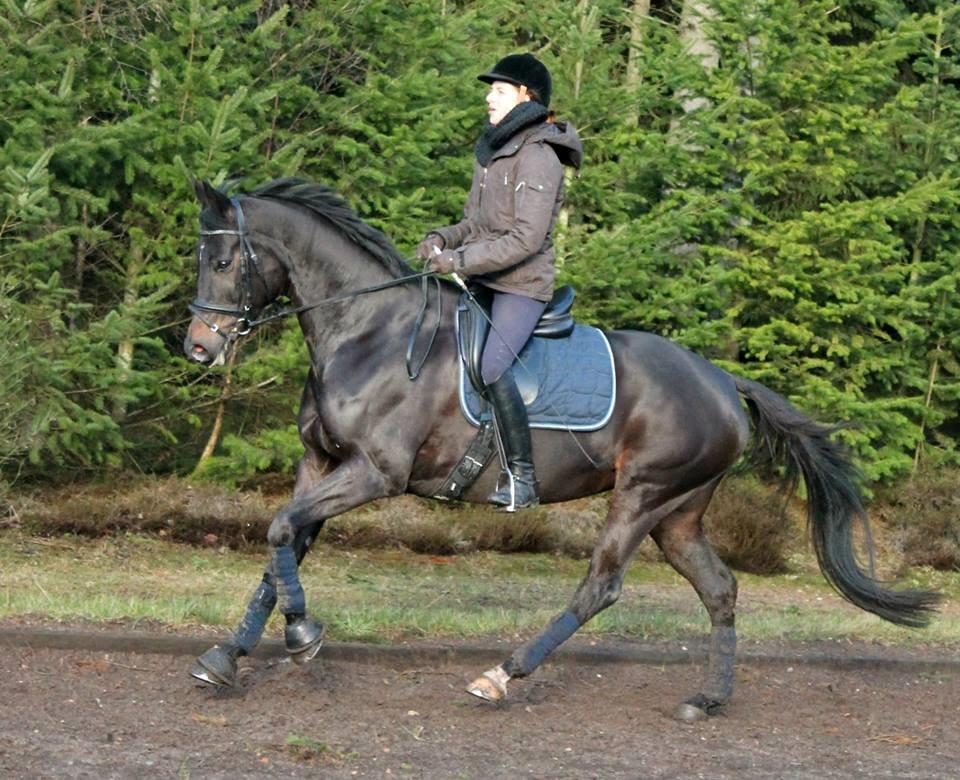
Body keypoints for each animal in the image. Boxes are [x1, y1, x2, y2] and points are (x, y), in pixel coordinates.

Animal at [182, 180, 936, 724]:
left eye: (222, 260)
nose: (198, 348)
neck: (367, 330)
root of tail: (723, 382)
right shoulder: (322, 464)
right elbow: (282, 545)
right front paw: (227, 656)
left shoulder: (374, 473)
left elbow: (281, 529)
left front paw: (302, 635)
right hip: (678, 513)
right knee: (720, 588)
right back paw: (709, 699)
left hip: (643, 495)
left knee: (601, 584)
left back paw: (502, 675)